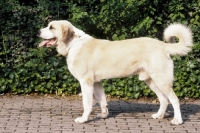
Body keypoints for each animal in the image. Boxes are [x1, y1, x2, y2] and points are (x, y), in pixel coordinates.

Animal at [37, 20, 192, 124]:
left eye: (51, 27)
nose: (38, 31)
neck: (73, 44)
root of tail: (162, 45)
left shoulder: (86, 82)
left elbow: (87, 104)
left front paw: (83, 119)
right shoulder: (97, 83)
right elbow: (102, 101)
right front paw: (103, 115)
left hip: (161, 80)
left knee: (174, 99)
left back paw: (177, 120)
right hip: (151, 81)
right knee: (164, 100)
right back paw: (159, 116)